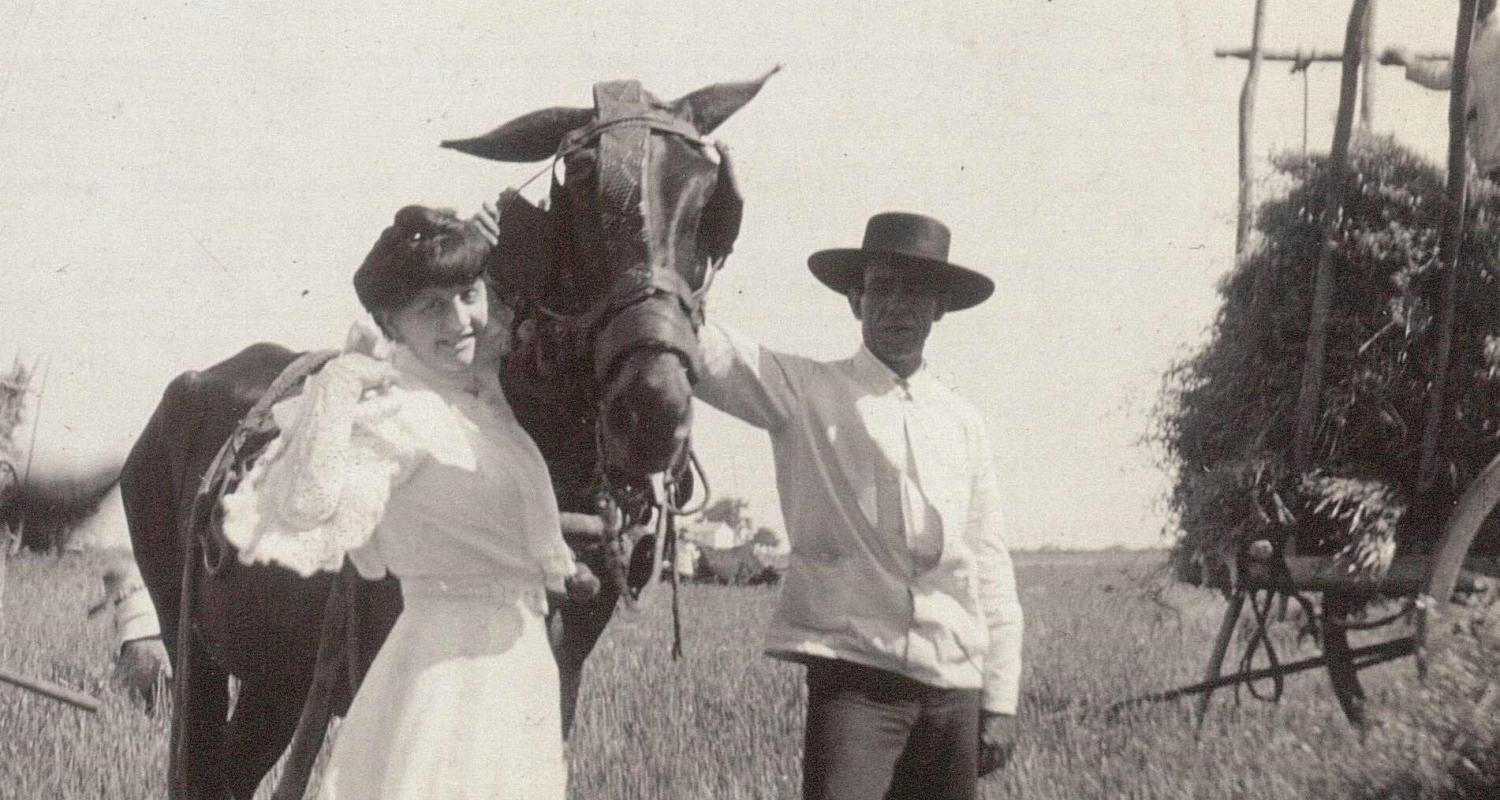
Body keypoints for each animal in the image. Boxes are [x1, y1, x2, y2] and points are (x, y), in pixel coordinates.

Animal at [120, 71, 774, 792]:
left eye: (711, 197)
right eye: (577, 183)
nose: (651, 405)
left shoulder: (559, 674)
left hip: (276, 676)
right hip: (193, 647)